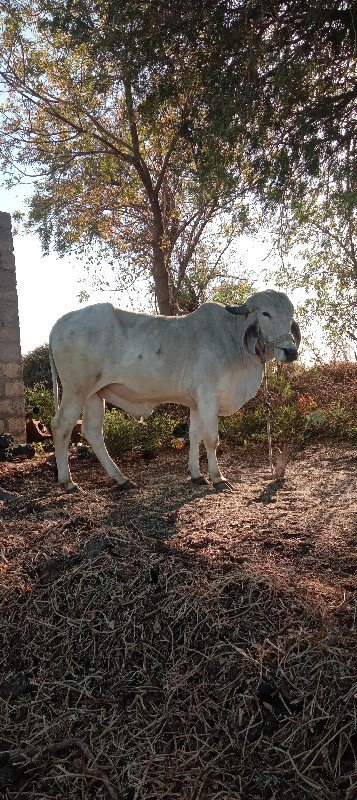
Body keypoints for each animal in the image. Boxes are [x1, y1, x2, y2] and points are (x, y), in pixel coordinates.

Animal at [49, 284, 300, 490]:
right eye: (266, 313)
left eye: (290, 315)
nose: (290, 352)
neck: (233, 338)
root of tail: (60, 322)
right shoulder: (208, 396)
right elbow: (211, 439)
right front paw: (217, 478)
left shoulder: (196, 403)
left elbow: (194, 435)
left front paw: (197, 475)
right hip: (76, 390)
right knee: (61, 427)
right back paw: (68, 482)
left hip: (94, 395)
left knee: (92, 432)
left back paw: (121, 479)